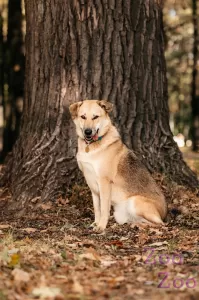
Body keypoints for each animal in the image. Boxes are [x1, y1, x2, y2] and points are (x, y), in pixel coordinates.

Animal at [69, 99, 167, 233]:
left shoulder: (104, 182)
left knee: (161, 224)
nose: (88, 132)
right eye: (83, 117)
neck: (91, 146)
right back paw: (135, 224)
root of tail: (164, 213)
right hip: (120, 215)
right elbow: (97, 208)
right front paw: (95, 223)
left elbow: (104, 209)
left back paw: (140, 226)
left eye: (95, 117)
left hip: (135, 201)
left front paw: (101, 226)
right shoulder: (93, 186)